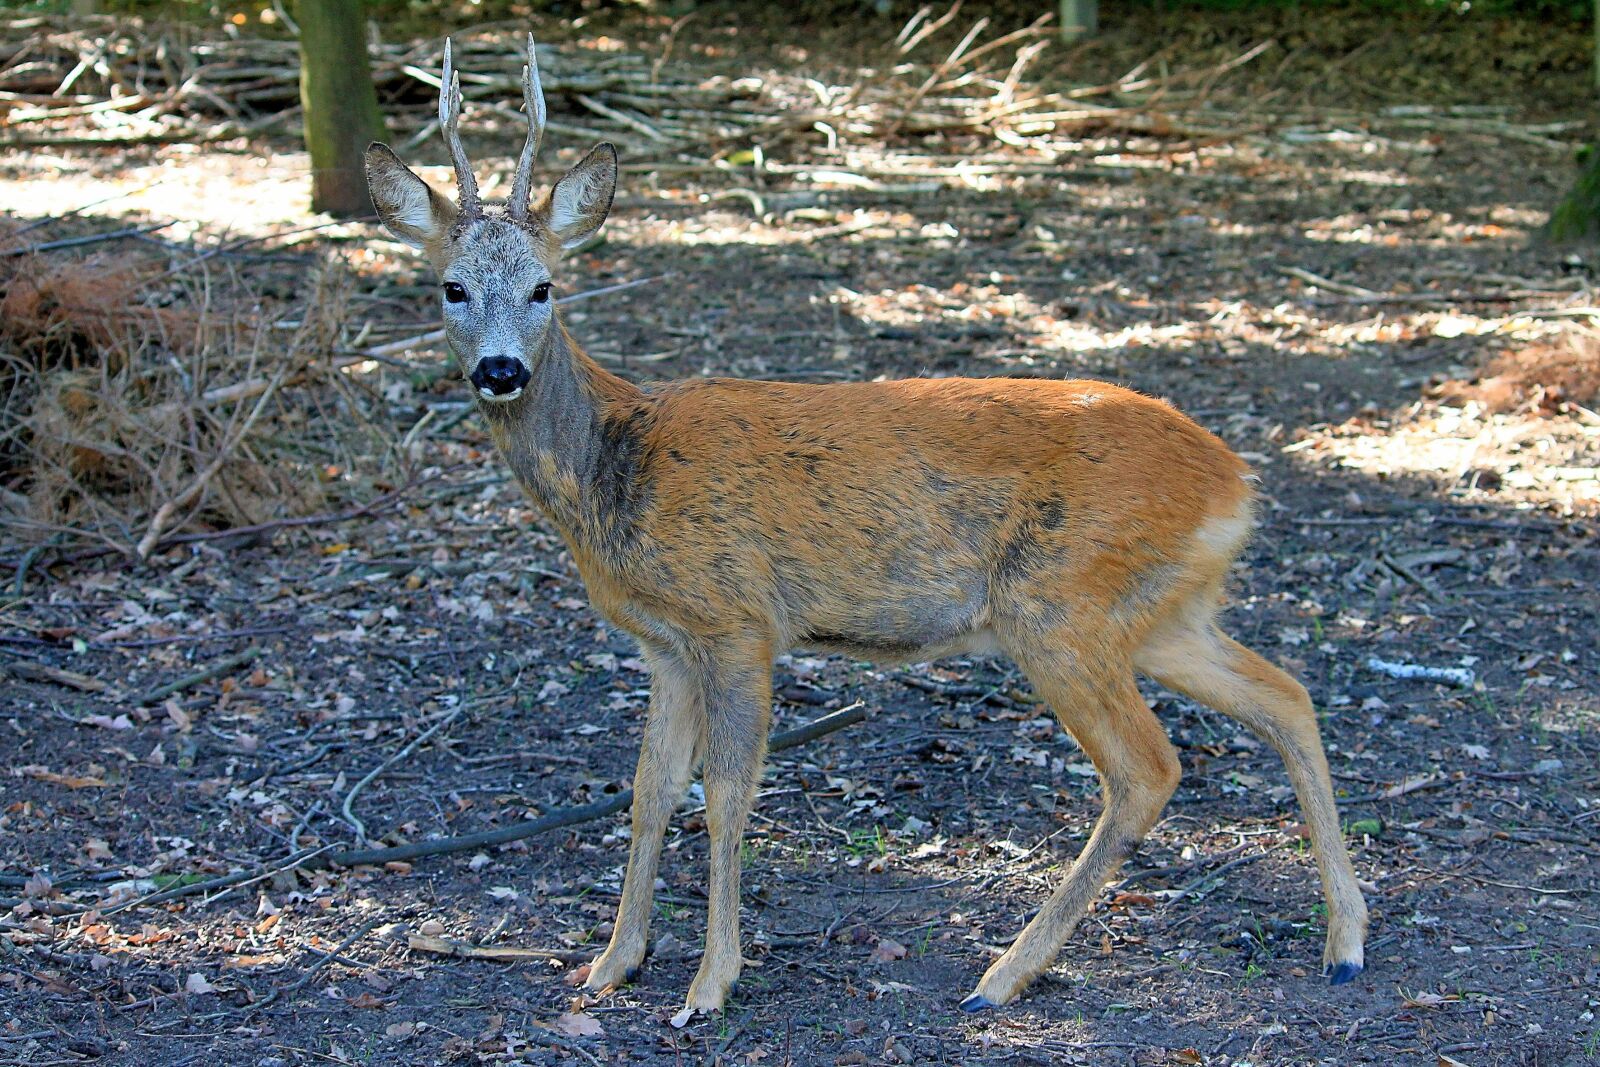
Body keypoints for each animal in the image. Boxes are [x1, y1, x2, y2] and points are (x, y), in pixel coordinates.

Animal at [363, 34, 1368, 1014]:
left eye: (544, 288)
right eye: (451, 288)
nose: (499, 371)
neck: (618, 464)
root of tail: (1234, 481)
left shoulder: (738, 618)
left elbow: (726, 794)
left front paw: (709, 983)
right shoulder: (665, 644)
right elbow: (648, 791)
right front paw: (613, 963)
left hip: (1059, 602)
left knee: (1149, 767)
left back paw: (1002, 975)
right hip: (1159, 611)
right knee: (1287, 695)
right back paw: (1345, 944)